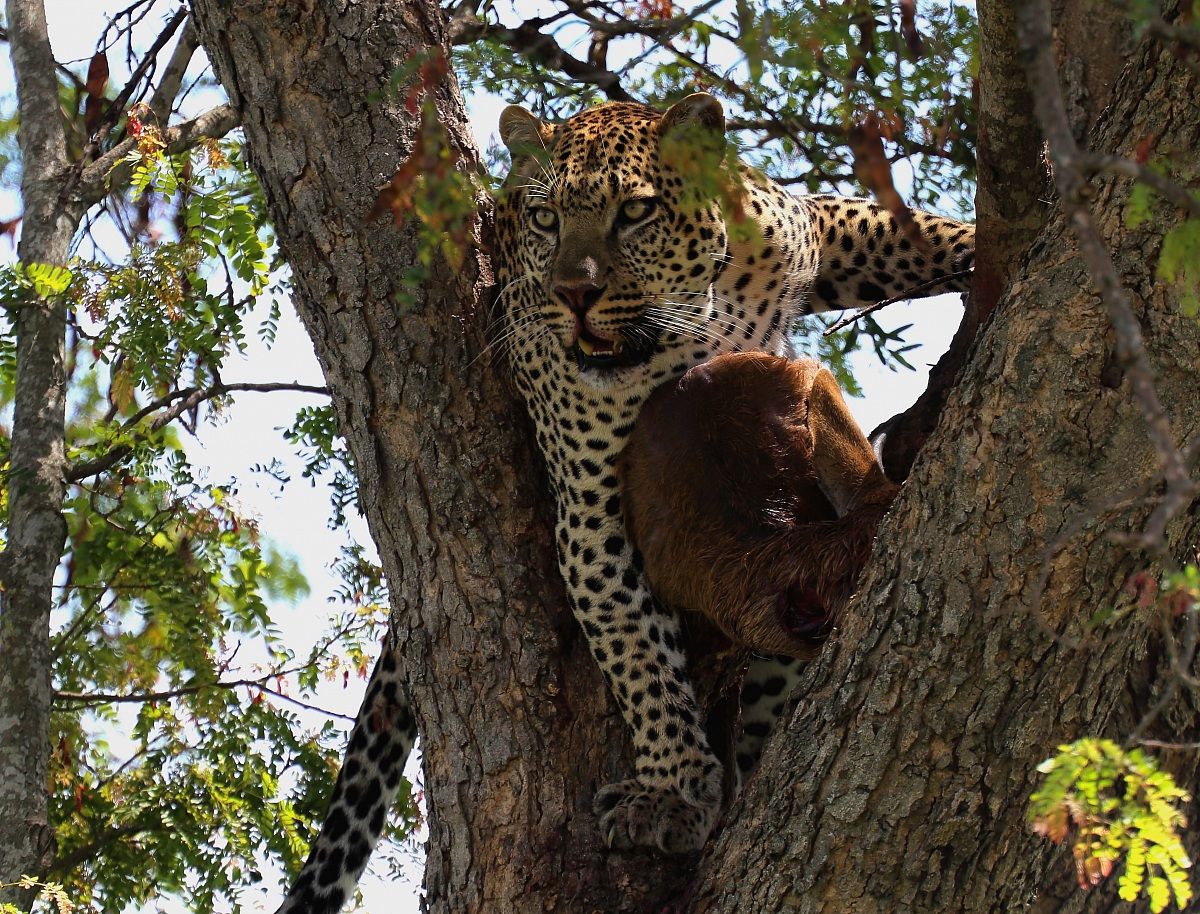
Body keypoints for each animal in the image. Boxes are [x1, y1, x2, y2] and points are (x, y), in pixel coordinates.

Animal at [270, 93, 973, 914]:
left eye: (634, 212)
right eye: (546, 219)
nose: (575, 295)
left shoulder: (804, 227)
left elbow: (899, 231)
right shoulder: (590, 514)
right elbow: (638, 655)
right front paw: (671, 791)